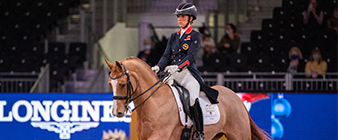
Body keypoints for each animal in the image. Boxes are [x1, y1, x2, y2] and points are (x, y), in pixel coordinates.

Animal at [104, 57, 270, 140]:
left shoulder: (159, 137)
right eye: (109, 84)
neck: (155, 103)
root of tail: (236, 97)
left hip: (239, 135)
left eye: (123, 84)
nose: (117, 113)